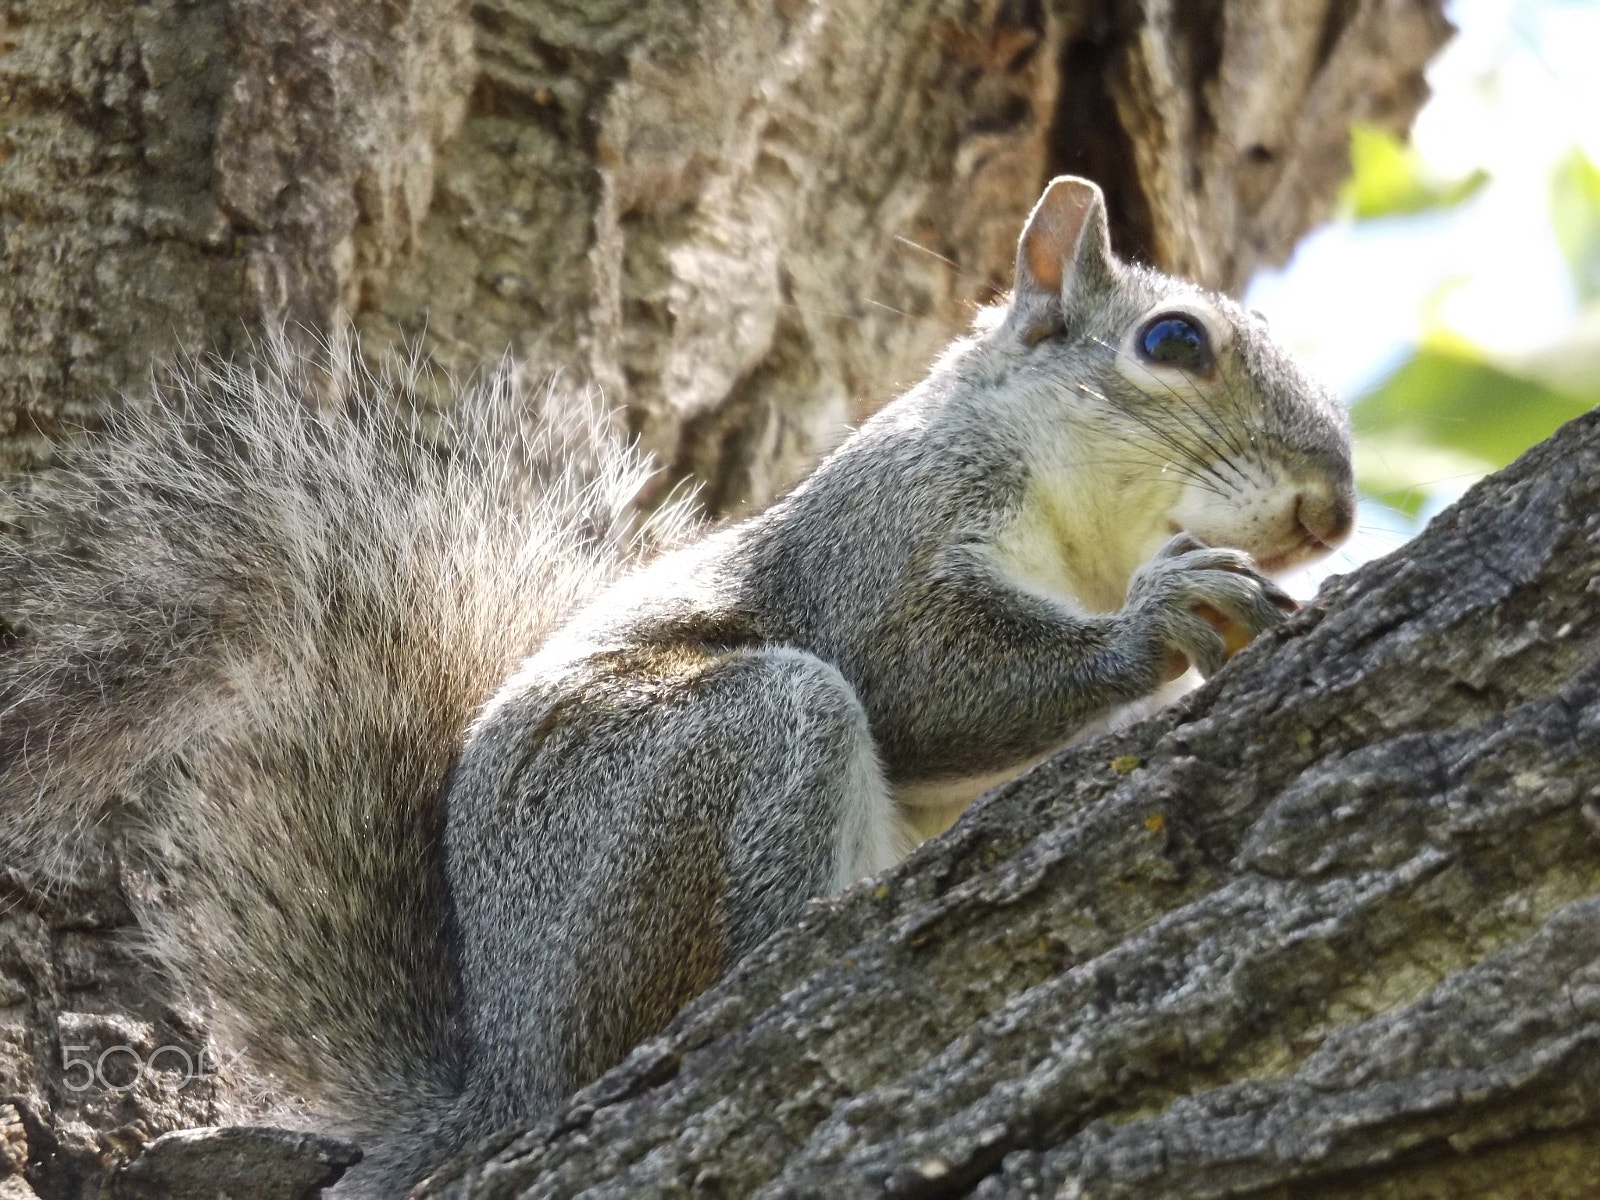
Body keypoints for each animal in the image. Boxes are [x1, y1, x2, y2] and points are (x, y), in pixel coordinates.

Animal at [0, 176, 1350, 1196]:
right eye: (1171, 342)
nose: (1332, 510)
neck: (1083, 538)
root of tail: (512, 1066)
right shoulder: (881, 538)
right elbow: (920, 679)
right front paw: (1155, 623)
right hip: (708, 765)